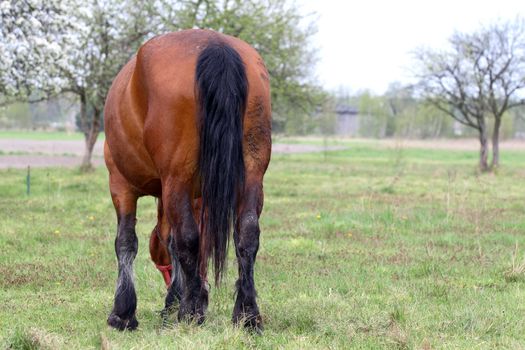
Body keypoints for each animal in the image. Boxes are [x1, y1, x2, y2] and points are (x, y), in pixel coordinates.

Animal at [102, 28, 270, 332]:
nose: (169, 284)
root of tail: (216, 45)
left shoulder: (121, 186)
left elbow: (127, 242)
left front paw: (123, 312)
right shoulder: (196, 196)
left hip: (175, 180)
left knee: (188, 238)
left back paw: (189, 313)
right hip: (252, 176)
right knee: (247, 235)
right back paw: (247, 315)